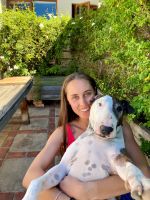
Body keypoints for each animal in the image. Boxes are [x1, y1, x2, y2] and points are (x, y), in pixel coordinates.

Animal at [22, 95, 150, 200]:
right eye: (99, 104)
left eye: (119, 108)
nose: (106, 129)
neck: (97, 138)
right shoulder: (62, 167)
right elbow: (37, 181)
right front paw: (29, 196)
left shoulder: (117, 158)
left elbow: (131, 167)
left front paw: (140, 181)